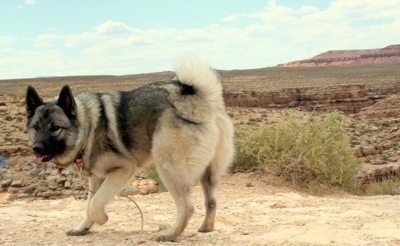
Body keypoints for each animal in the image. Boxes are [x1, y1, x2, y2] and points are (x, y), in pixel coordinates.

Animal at [25, 58, 234, 242]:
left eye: (55, 127)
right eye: (35, 127)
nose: (36, 149)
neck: (88, 126)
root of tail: (202, 98)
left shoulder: (123, 170)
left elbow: (95, 204)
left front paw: (102, 219)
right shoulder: (96, 178)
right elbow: (89, 204)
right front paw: (82, 228)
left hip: (167, 167)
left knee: (187, 207)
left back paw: (170, 235)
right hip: (208, 173)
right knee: (211, 201)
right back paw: (206, 228)